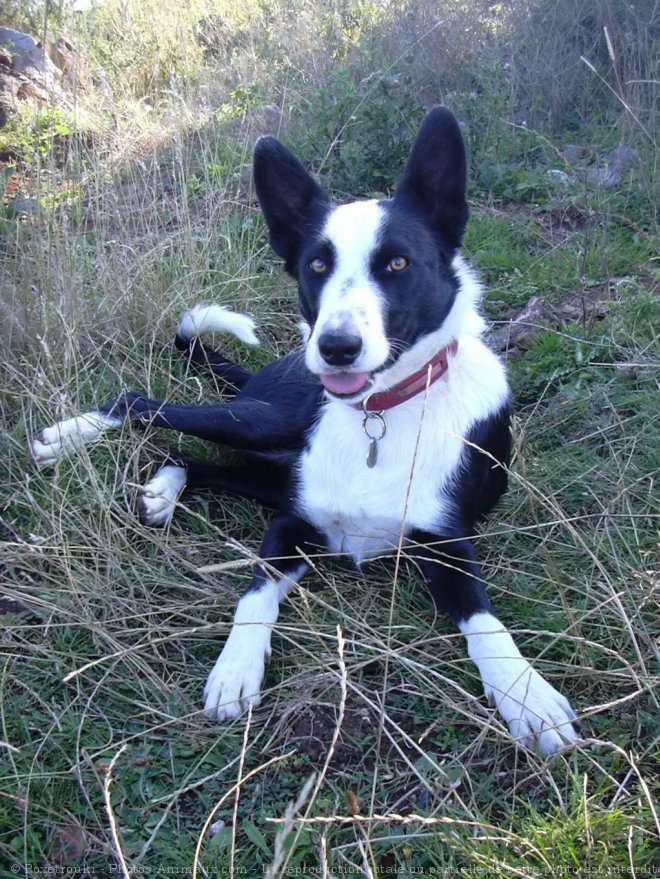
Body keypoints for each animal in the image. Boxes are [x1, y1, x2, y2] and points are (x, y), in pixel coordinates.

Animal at [33, 108, 576, 756]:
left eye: (398, 263)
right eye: (317, 265)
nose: (336, 347)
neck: (378, 415)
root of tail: (268, 373)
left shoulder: (446, 544)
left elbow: (487, 625)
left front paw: (528, 694)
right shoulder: (292, 524)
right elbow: (253, 594)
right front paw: (235, 669)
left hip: (270, 461)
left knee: (201, 459)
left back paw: (163, 489)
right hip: (262, 422)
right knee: (143, 404)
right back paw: (71, 437)